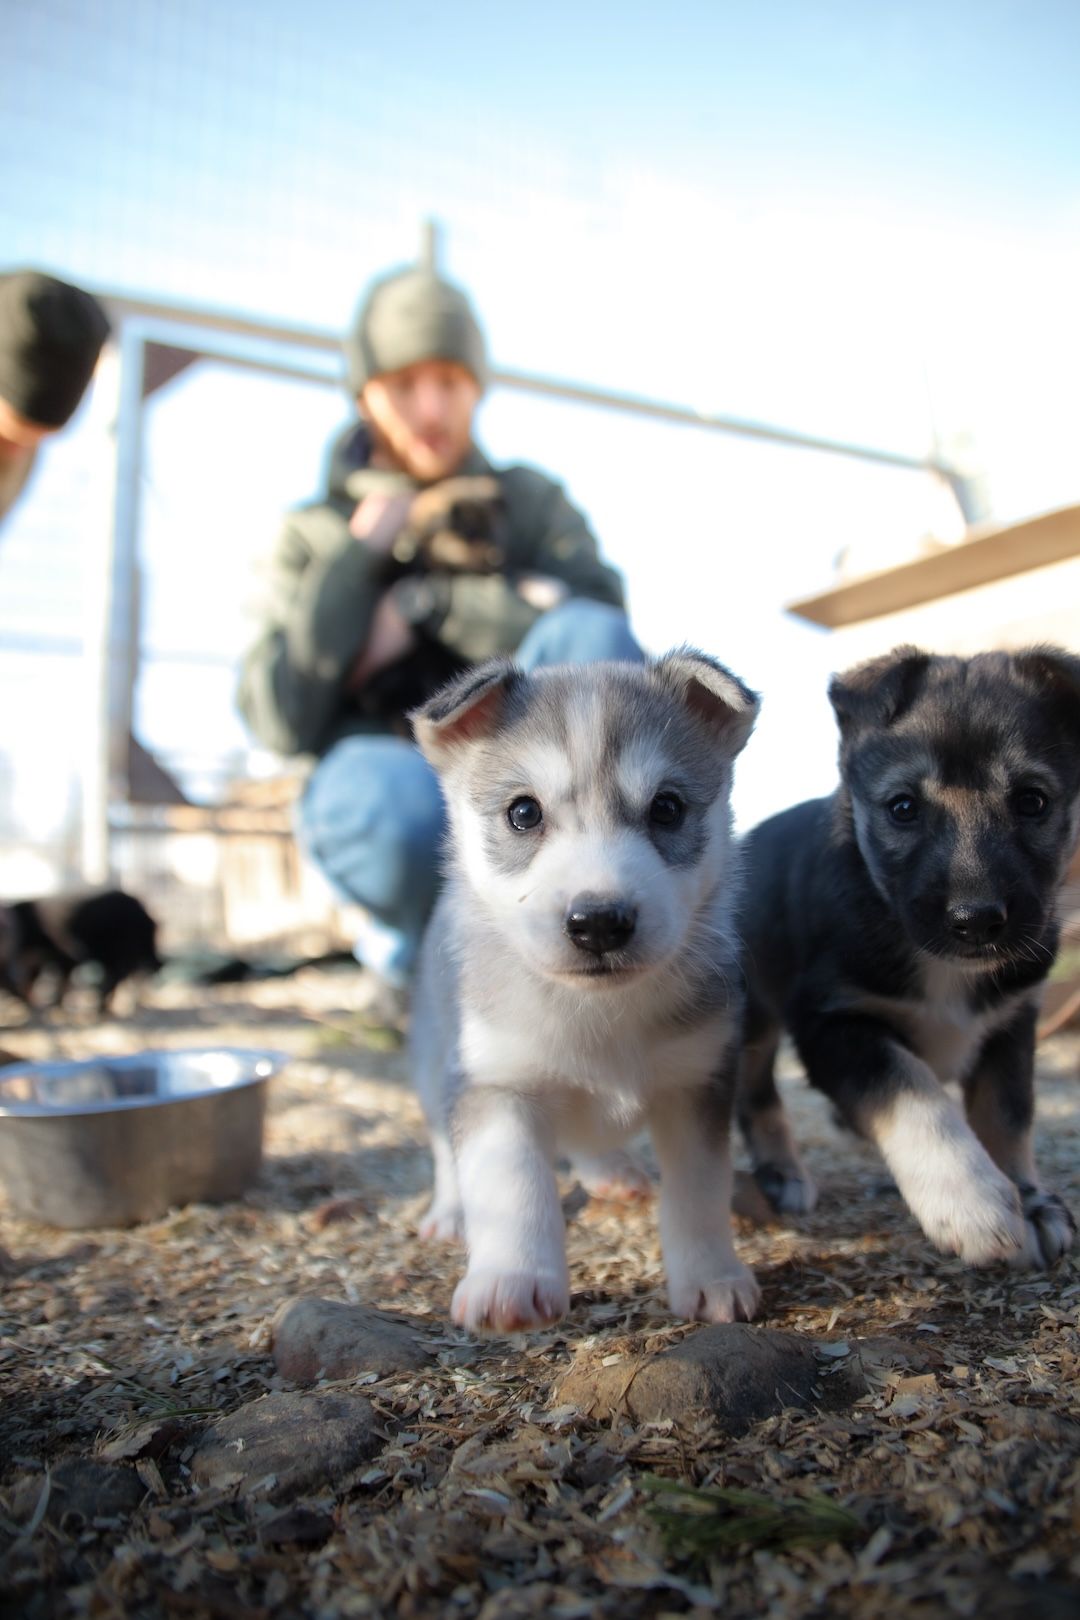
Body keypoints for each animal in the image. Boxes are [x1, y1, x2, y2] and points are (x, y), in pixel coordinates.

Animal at [0, 887, 162, 1010]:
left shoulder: (64, 956)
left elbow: (62, 980)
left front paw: (56, 1003)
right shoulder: (37, 960)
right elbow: (31, 980)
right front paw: (34, 1001)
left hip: (119, 950)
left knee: (119, 976)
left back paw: (103, 1006)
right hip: (114, 954)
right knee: (120, 976)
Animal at [411, 651, 761, 1334]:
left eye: (667, 809)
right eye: (523, 812)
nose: (599, 921)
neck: (598, 1014)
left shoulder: (698, 1082)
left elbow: (700, 1192)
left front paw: (712, 1276)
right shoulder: (496, 1083)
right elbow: (512, 1187)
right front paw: (511, 1280)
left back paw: (612, 1172)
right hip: (436, 1063)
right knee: (443, 1145)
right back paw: (450, 1211)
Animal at [735, 641, 1080, 1263]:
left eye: (1032, 801)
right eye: (902, 808)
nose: (976, 922)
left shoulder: (1012, 1023)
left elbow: (1007, 1115)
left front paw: (1030, 1199)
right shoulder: (832, 1022)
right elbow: (913, 1091)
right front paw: (972, 1199)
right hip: (749, 1014)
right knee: (754, 1092)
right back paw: (781, 1173)